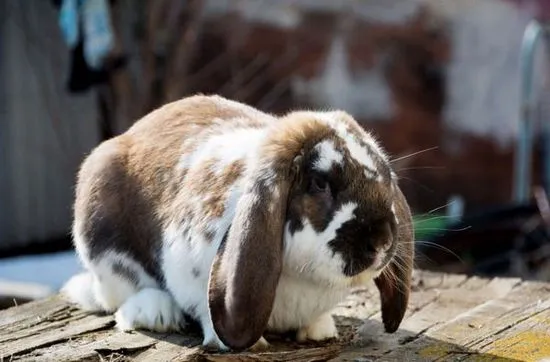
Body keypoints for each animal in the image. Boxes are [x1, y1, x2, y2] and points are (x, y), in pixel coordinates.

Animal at [61, 94, 414, 352]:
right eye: (319, 183)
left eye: (385, 176)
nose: (382, 241)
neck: (305, 279)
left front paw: (320, 331)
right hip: (99, 230)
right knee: (121, 293)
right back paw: (157, 312)